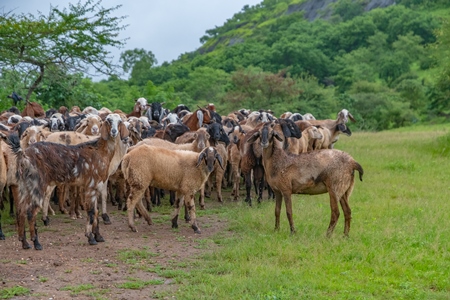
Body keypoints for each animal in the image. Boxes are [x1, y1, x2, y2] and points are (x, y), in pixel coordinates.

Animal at [7, 112, 129, 248]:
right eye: (108, 120)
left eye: (119, 122)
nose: (114, 131)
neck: (100, 152)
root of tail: (24, 154)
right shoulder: (91, 186)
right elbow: (91, 212)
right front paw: (90, 237)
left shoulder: (97, 186)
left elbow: (96, 211)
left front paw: (98, 236)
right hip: (37, 185)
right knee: (31, 212)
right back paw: (36, 243)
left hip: (24, 186)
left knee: (21, 211)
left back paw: (24, 242)